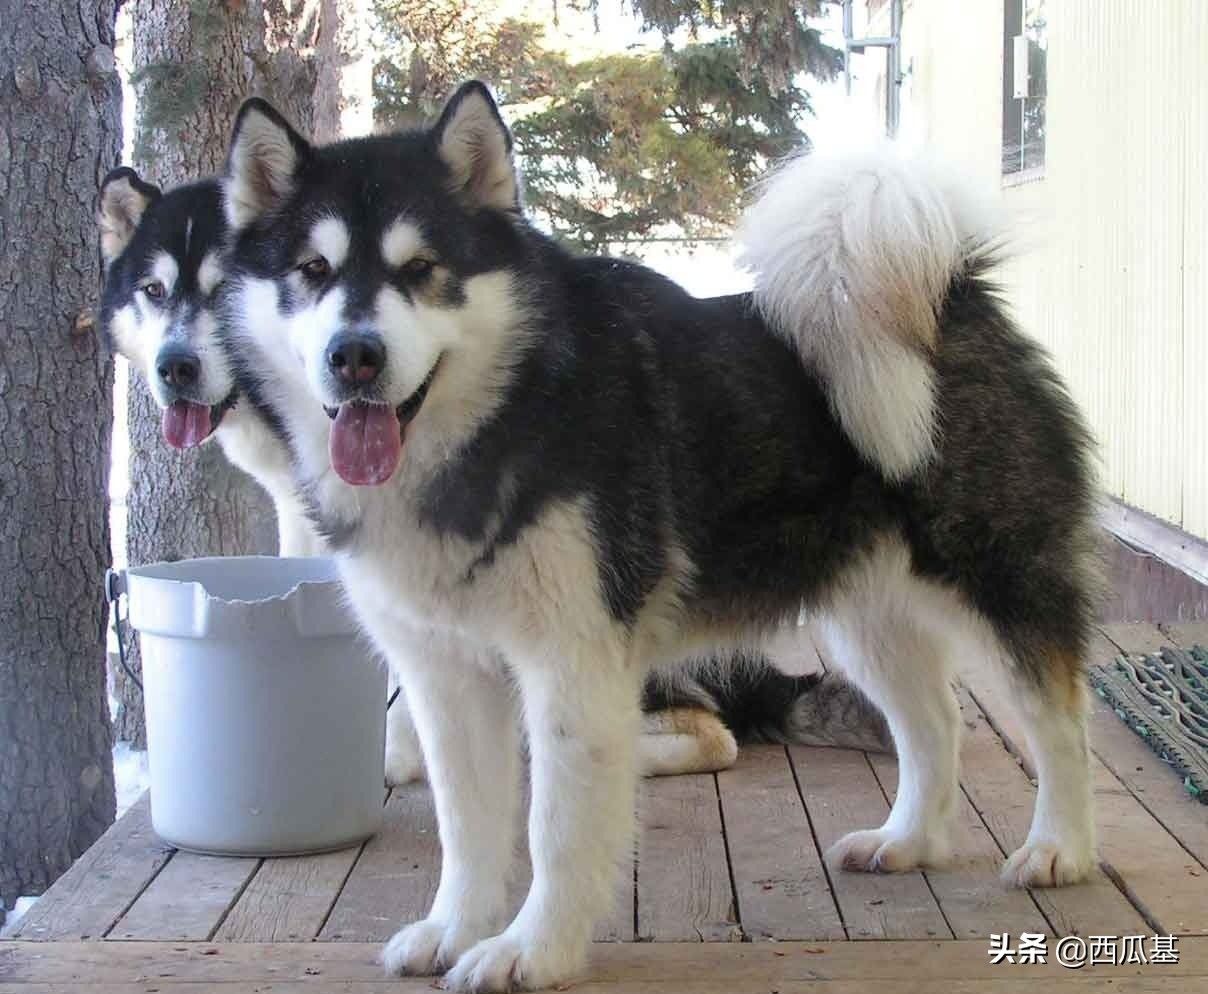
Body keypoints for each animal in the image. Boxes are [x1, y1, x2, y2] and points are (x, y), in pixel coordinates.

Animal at [205, 81, 1096, 990]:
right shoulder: (444, 675)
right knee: (934, 724)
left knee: (1058, 719)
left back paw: (1059, 848)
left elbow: (554, 830)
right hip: (866, 619)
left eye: (422, 270)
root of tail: (950, 292)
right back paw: (910, 841)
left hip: (996, 583)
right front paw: (454, 928)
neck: (498, 420)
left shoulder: (573, 665)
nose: (355, 355)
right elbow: (468, 825)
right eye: (312, 272)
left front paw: (532, 950)